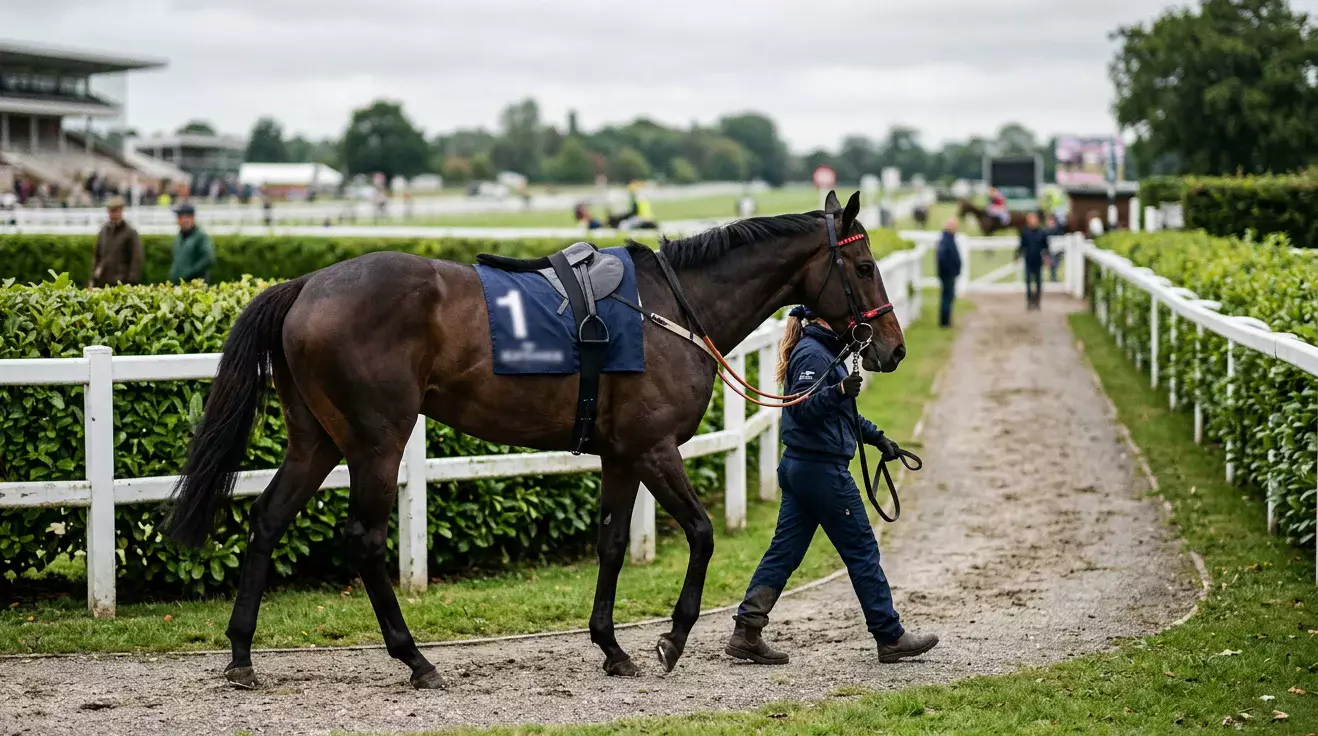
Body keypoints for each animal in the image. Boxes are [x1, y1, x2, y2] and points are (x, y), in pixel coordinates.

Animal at [163, 190, 906, 690]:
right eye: (866, 264)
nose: (891, 347)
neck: (671, 310)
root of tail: (305, 285)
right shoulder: (655, 448)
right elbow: (699, 535)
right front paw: (670, 640)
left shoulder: (621, 454)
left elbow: (612, 543)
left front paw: (612, 647)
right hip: (377, 439)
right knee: (366, 540)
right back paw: (416, 659)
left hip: (315, 438)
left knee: (267, 519)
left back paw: (241, 654)